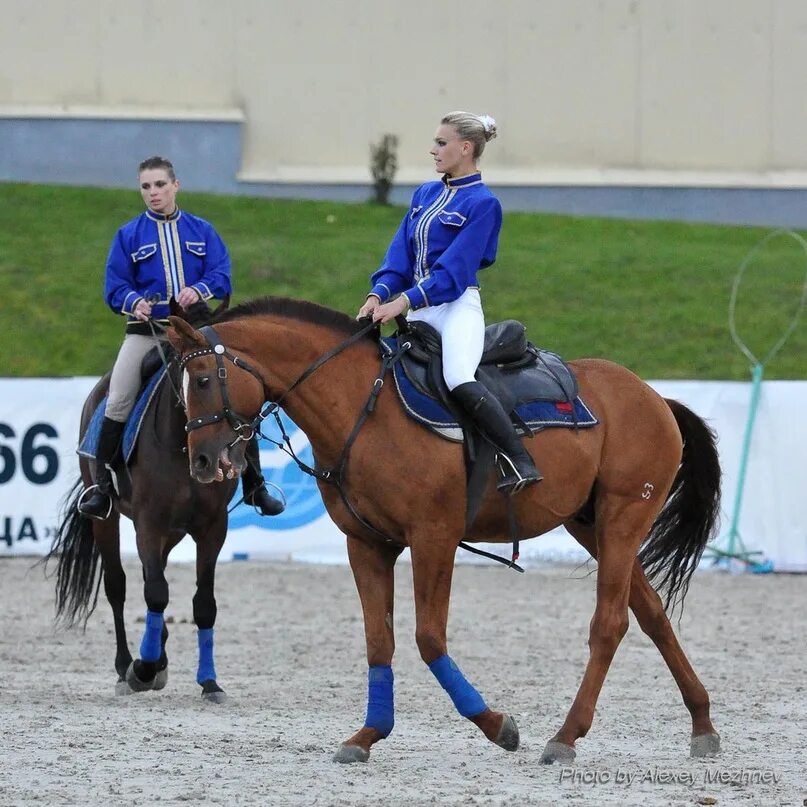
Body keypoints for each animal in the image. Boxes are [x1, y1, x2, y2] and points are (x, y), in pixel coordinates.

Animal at [46, 304, 237, 700]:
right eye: (195, 376)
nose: (210, 456)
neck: (182, 446)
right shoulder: (149, 522)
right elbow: (155, 593)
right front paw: (142, 669)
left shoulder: (212, 527)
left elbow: (203, 604)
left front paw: (209, 682)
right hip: (107, 520)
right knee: (117, 586)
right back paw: (127, 667)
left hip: (172, 531)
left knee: (155, 575)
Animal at [167, 298, 724, 764]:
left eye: (202, 379)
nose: (200, 463)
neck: (364, 408)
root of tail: (653, 395)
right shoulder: (366, 545)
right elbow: (379, 640)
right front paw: (368, 735)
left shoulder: (433, 538)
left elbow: (429, 638)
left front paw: (497, 726)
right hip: (592, 526)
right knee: (652, 614)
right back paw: (702, 723)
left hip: (623, 517)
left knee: (610, 623)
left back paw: (565, 736)